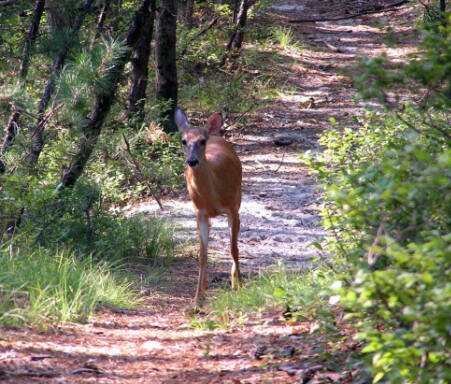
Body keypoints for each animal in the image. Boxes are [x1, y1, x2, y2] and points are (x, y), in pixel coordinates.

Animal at [174, 109, 244, 308]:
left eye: (202, 141)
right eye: (183, 140)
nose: (192, 161)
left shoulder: (233, 208)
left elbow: (233, 248)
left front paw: (239, 285)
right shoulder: (200, 214)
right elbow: (202, 255)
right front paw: (197, 300)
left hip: (239, 198)